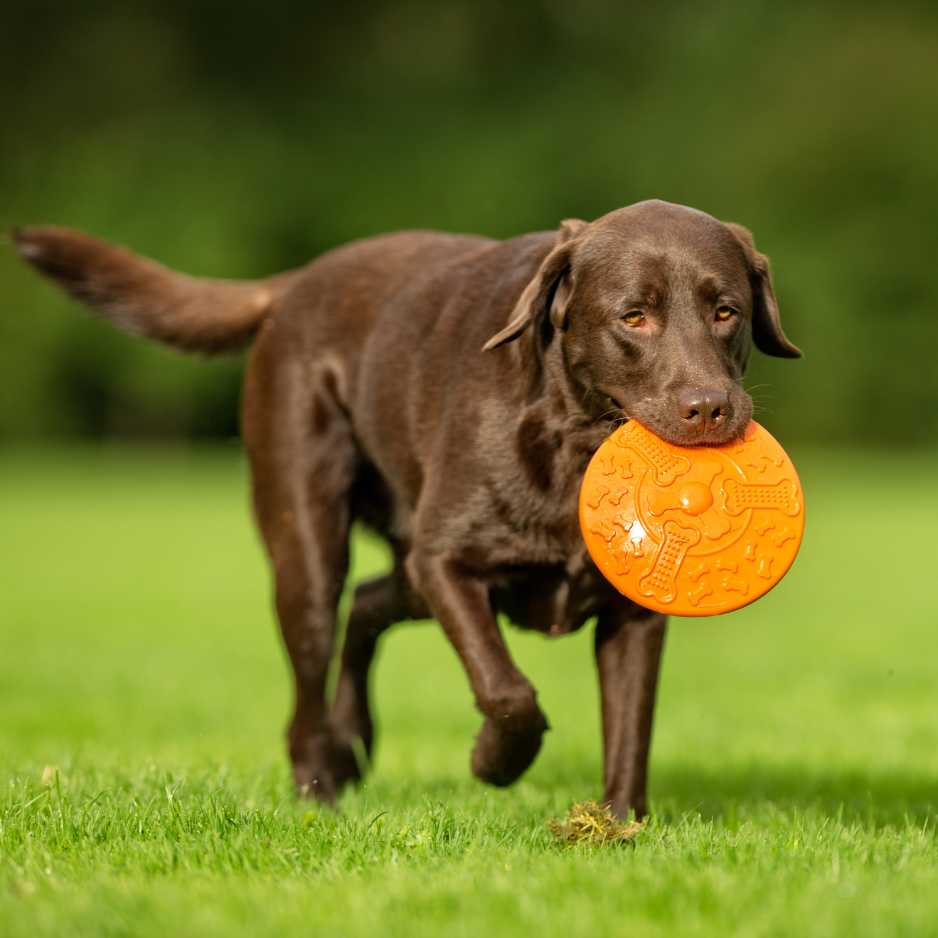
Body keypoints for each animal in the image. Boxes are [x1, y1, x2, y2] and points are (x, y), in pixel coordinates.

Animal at [12, 201, 796, 816]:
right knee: (315, 658)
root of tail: (297, 282)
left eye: (725, 311)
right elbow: (507, 690)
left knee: (366, 604)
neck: (574, 443)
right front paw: (493, 762)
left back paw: (354, 741)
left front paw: (619, 827)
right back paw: (320, 785)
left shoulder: (633, 613)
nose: (710, 408)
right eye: (634, 316)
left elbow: (631, 727)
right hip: (311, 544)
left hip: (403, 565)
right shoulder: (447, 561)